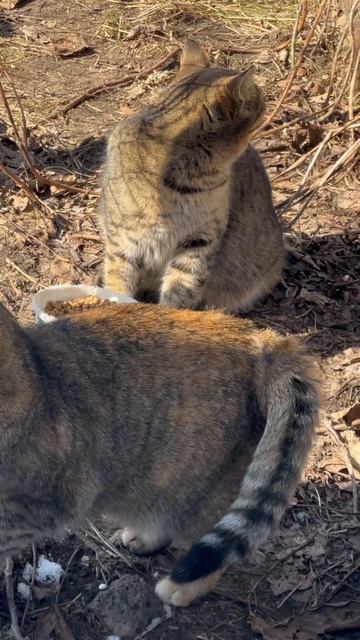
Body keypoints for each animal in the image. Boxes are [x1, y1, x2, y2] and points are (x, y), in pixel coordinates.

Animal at [100, 38, 286, 312]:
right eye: (258, 101)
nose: (267, 102)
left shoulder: (199, 242)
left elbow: (180, 291)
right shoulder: (123, 242)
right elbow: (118, 284)